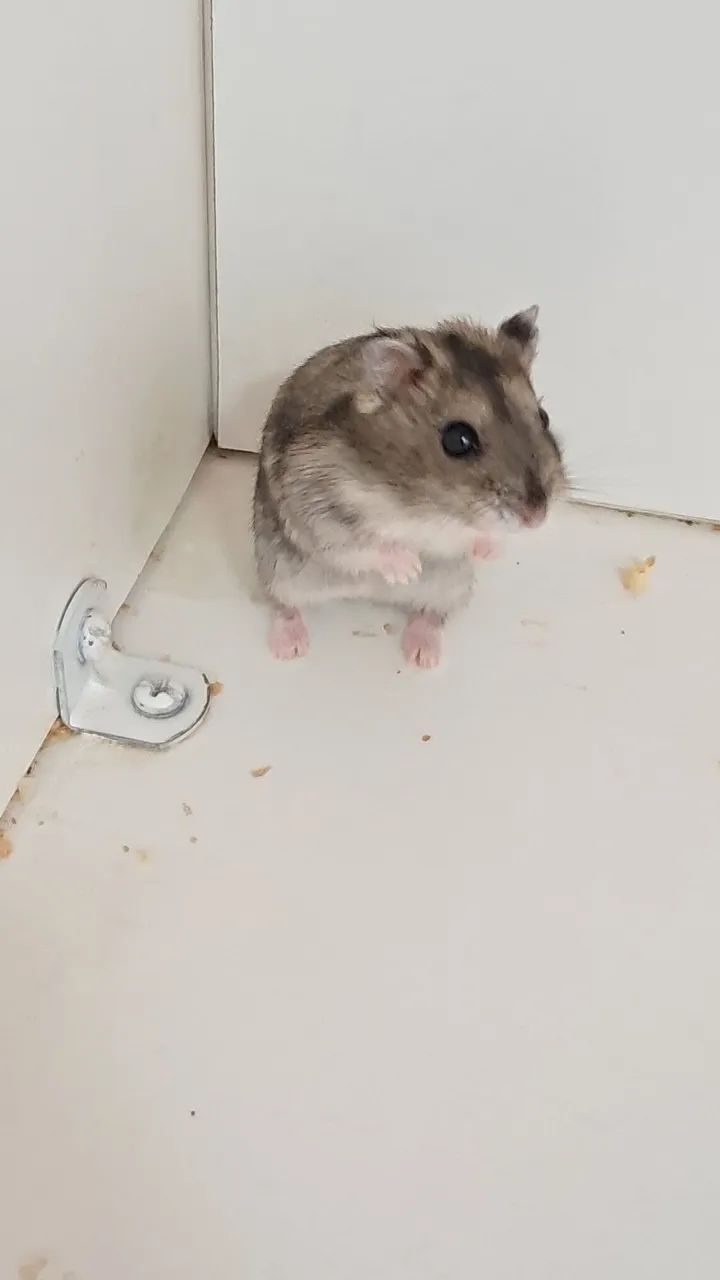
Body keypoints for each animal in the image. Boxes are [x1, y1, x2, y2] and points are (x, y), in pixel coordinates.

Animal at [253, 307, 565, 667]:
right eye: (458, 439)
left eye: (543, 417)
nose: (536, 518)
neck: (421, 506)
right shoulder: (316, 502)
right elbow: (360, 544)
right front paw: (408, 569)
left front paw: (490, 550)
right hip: (279, 572)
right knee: (284, 604)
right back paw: (289, 648)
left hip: (451, 586)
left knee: (430, 613)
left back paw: (422, 657)